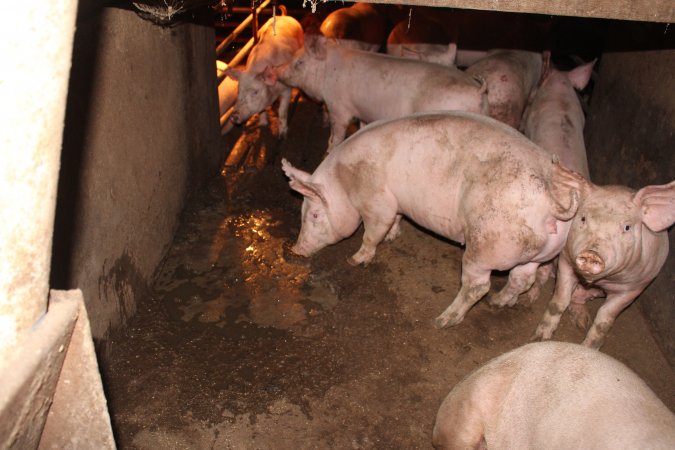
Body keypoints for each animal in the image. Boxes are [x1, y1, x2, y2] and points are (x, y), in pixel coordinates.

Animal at [280, 110, 580, 328]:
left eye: (315, 215)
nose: (296, 249)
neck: (344, 180)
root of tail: (552, 197)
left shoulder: (376, 199)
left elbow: (373, 230)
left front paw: (355, 260)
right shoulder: (397, 203)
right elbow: (395, 219)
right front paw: (393, 236)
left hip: (488, 242)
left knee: (477, 285)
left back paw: (442, 321)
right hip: (536, 252)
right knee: (522, 278)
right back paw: (498, 302)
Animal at [532, 175, 675, 348]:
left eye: (627, 227)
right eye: (583, 218)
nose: (592, 253)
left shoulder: (635, 287)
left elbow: (604, 321)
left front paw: (587, 349)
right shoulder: (566, 260)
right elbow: (559, 301)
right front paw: (539, 338)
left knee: (577, 300)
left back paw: (582, 322)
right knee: (543, 274)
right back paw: (531, 297)